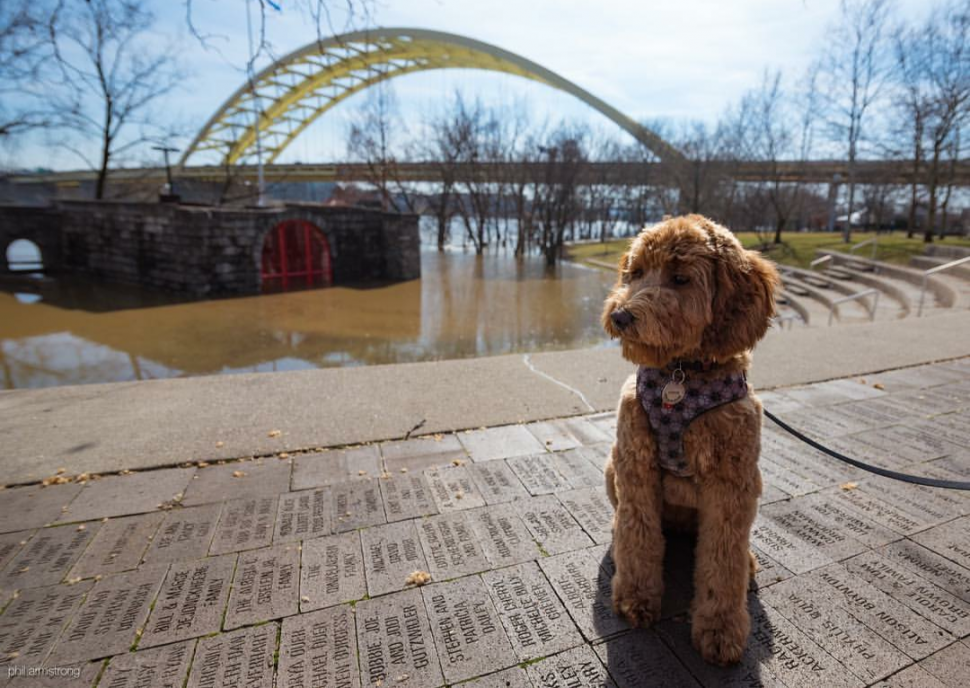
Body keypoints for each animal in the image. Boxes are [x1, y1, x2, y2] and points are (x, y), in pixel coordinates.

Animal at [596, 215, 780, 668]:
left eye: (680, 279)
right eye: (635, 272)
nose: (621, 316)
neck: (681, 373)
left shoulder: (732, 484)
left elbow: (723, 561)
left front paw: (721, 630)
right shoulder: (635, 463)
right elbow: (638, 535)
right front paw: (635, 598)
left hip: (753, 485)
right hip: (612, 468)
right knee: (627, 523)